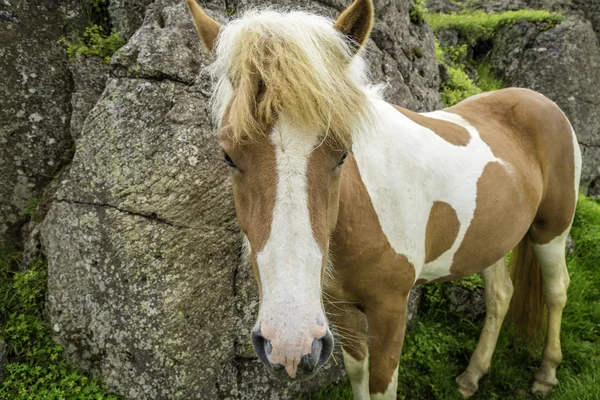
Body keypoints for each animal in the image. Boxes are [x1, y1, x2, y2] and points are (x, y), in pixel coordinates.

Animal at [186, 1, 580, 398]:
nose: (289, 345)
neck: (361, 210)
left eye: (343, 153)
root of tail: (540, 101)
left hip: (552, 230)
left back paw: (546, 372)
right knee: (500, 295)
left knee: (557, 290)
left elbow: (380, 383)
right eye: (228, 156)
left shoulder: (391, 309)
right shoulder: (340, 309)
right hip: (490, 238)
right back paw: (472, 375)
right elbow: (358, 371)